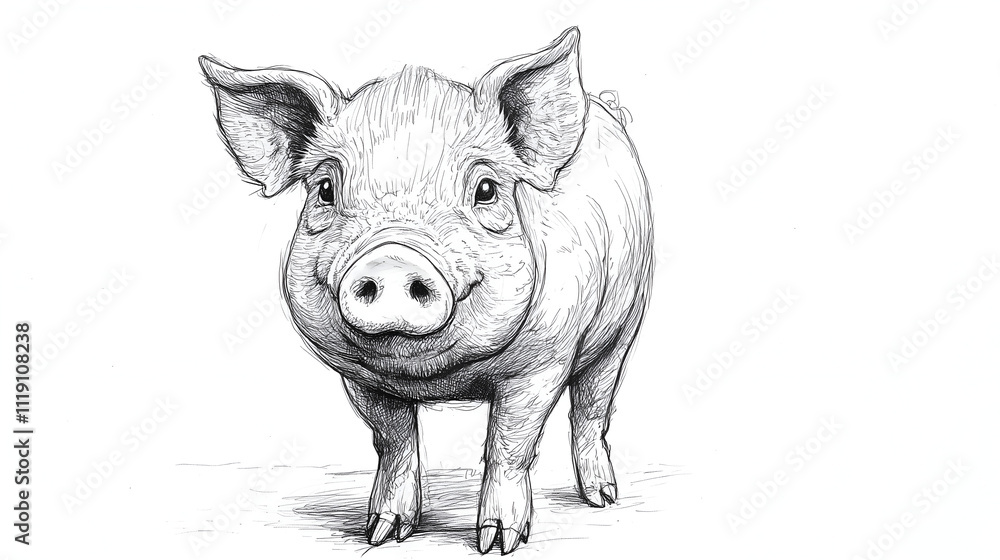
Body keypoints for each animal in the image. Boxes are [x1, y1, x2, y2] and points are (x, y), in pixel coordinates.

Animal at [200, 27, 653, 554]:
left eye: (486, 189)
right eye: (325, 189)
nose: (393, 258)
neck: (437, 380)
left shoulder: (542, 363)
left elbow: (509, 444)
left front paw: (498, 543)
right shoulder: (360, 377)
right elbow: (393, 439)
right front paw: (381, 533)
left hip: (627, 319)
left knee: (592, 405)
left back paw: (602, 498)